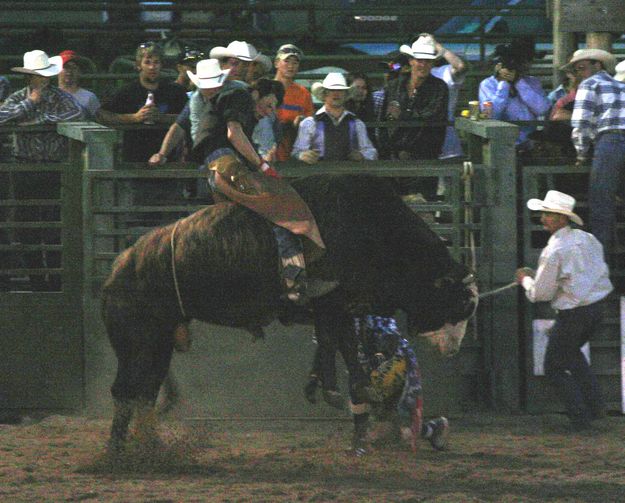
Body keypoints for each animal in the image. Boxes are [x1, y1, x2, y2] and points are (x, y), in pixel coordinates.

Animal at [102, 173, 476, 452]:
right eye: (459, 304)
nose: (455, 349)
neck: (377, 231)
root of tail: (118, 269)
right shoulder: (331, 302)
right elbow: (333, 346)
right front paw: (333, 392)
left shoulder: (343, 309)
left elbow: (343, 351)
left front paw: (351, 395)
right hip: (136, 342)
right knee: (125, 391)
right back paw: (118, 454)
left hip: (159, 342)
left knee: (145, 391)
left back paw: (147, 447)